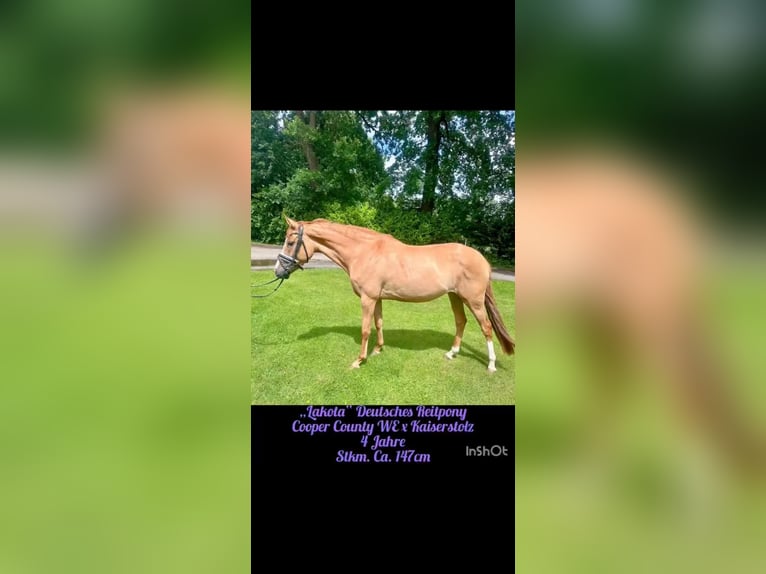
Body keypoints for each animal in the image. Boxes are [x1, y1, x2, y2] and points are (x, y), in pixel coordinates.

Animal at [274, 216, 515, 371]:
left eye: (291, 242)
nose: (278, 271)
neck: (364, 252)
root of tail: (482, 259)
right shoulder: (378, 298)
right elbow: (379, 323)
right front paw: (378, 350)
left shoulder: (368, 298)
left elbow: (365, 329)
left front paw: (359, 360)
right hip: (454, 296)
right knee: (460, 321)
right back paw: (451, 353)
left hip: (473, 300)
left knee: (486, 328)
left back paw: (491, 365)